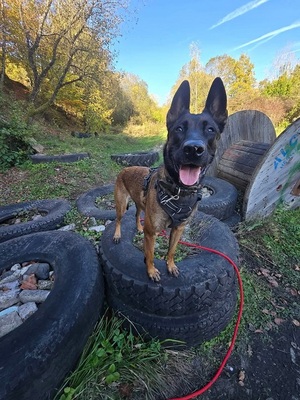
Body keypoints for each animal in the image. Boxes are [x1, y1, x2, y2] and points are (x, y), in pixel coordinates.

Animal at [112, 77, 227, 282]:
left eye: (210, 130)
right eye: (179, 128)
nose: (193, 149)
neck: (179, 192)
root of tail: (124, 169)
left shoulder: (178, 229)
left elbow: (171, 251)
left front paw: (170, 266)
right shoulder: (152, 233)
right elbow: (149, 255)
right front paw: (151, 271)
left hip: (140, 204)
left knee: (137, 215)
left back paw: (138, 227)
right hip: (121, 204)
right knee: (118, 220)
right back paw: (117, 235)